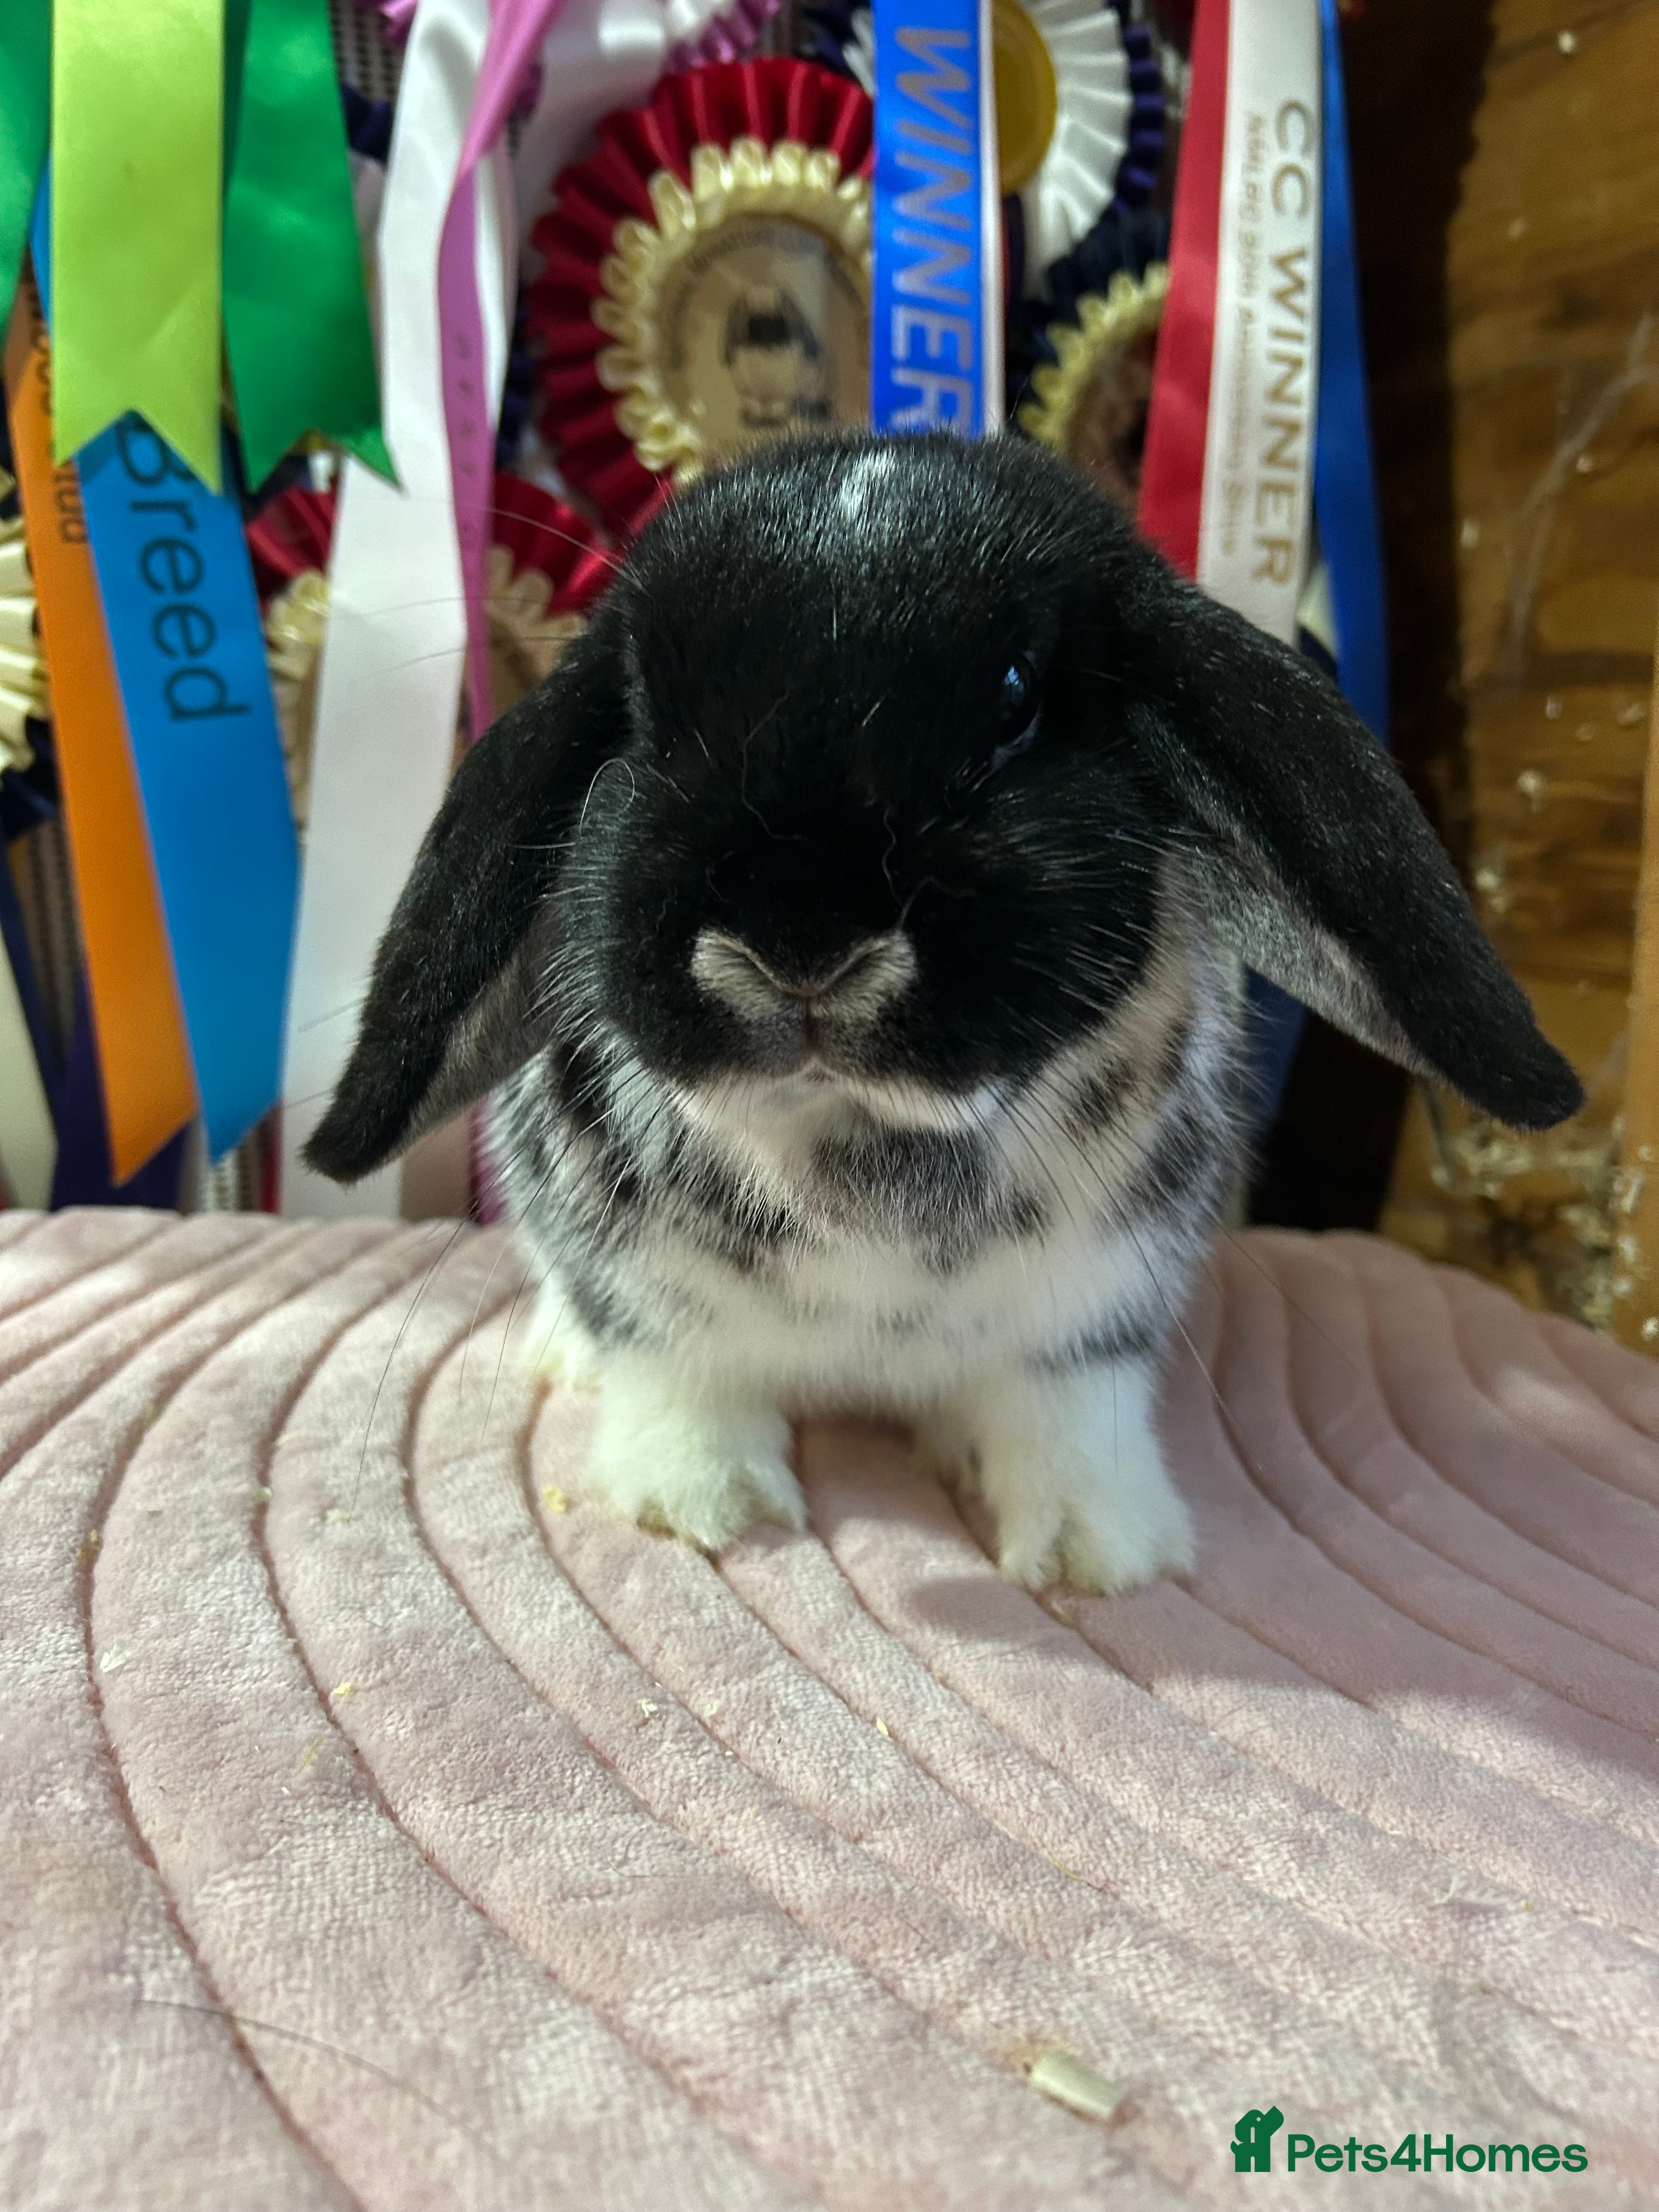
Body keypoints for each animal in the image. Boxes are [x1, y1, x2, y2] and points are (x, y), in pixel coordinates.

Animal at [305, 431, 1581, 1593]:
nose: (800, 942)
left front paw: (1095, 1553)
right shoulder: (652, 1301)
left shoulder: (1094, 1316)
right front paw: (705, 1508)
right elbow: (684, 1377)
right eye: (644, 709)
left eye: (1015, 698)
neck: (859, 1142)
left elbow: (1067, 1416)